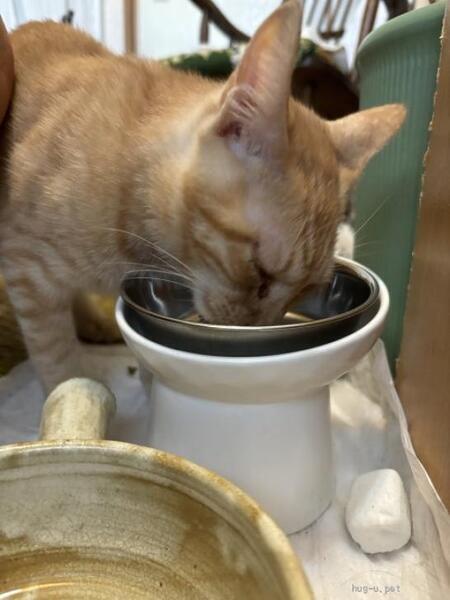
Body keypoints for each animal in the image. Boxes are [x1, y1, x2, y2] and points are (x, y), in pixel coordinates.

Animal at [0, 0, 405, 393]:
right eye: (260, 271)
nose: (256, 329)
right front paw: (73, 391)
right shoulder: (28, 272)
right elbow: (58, 360)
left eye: (306, 290)